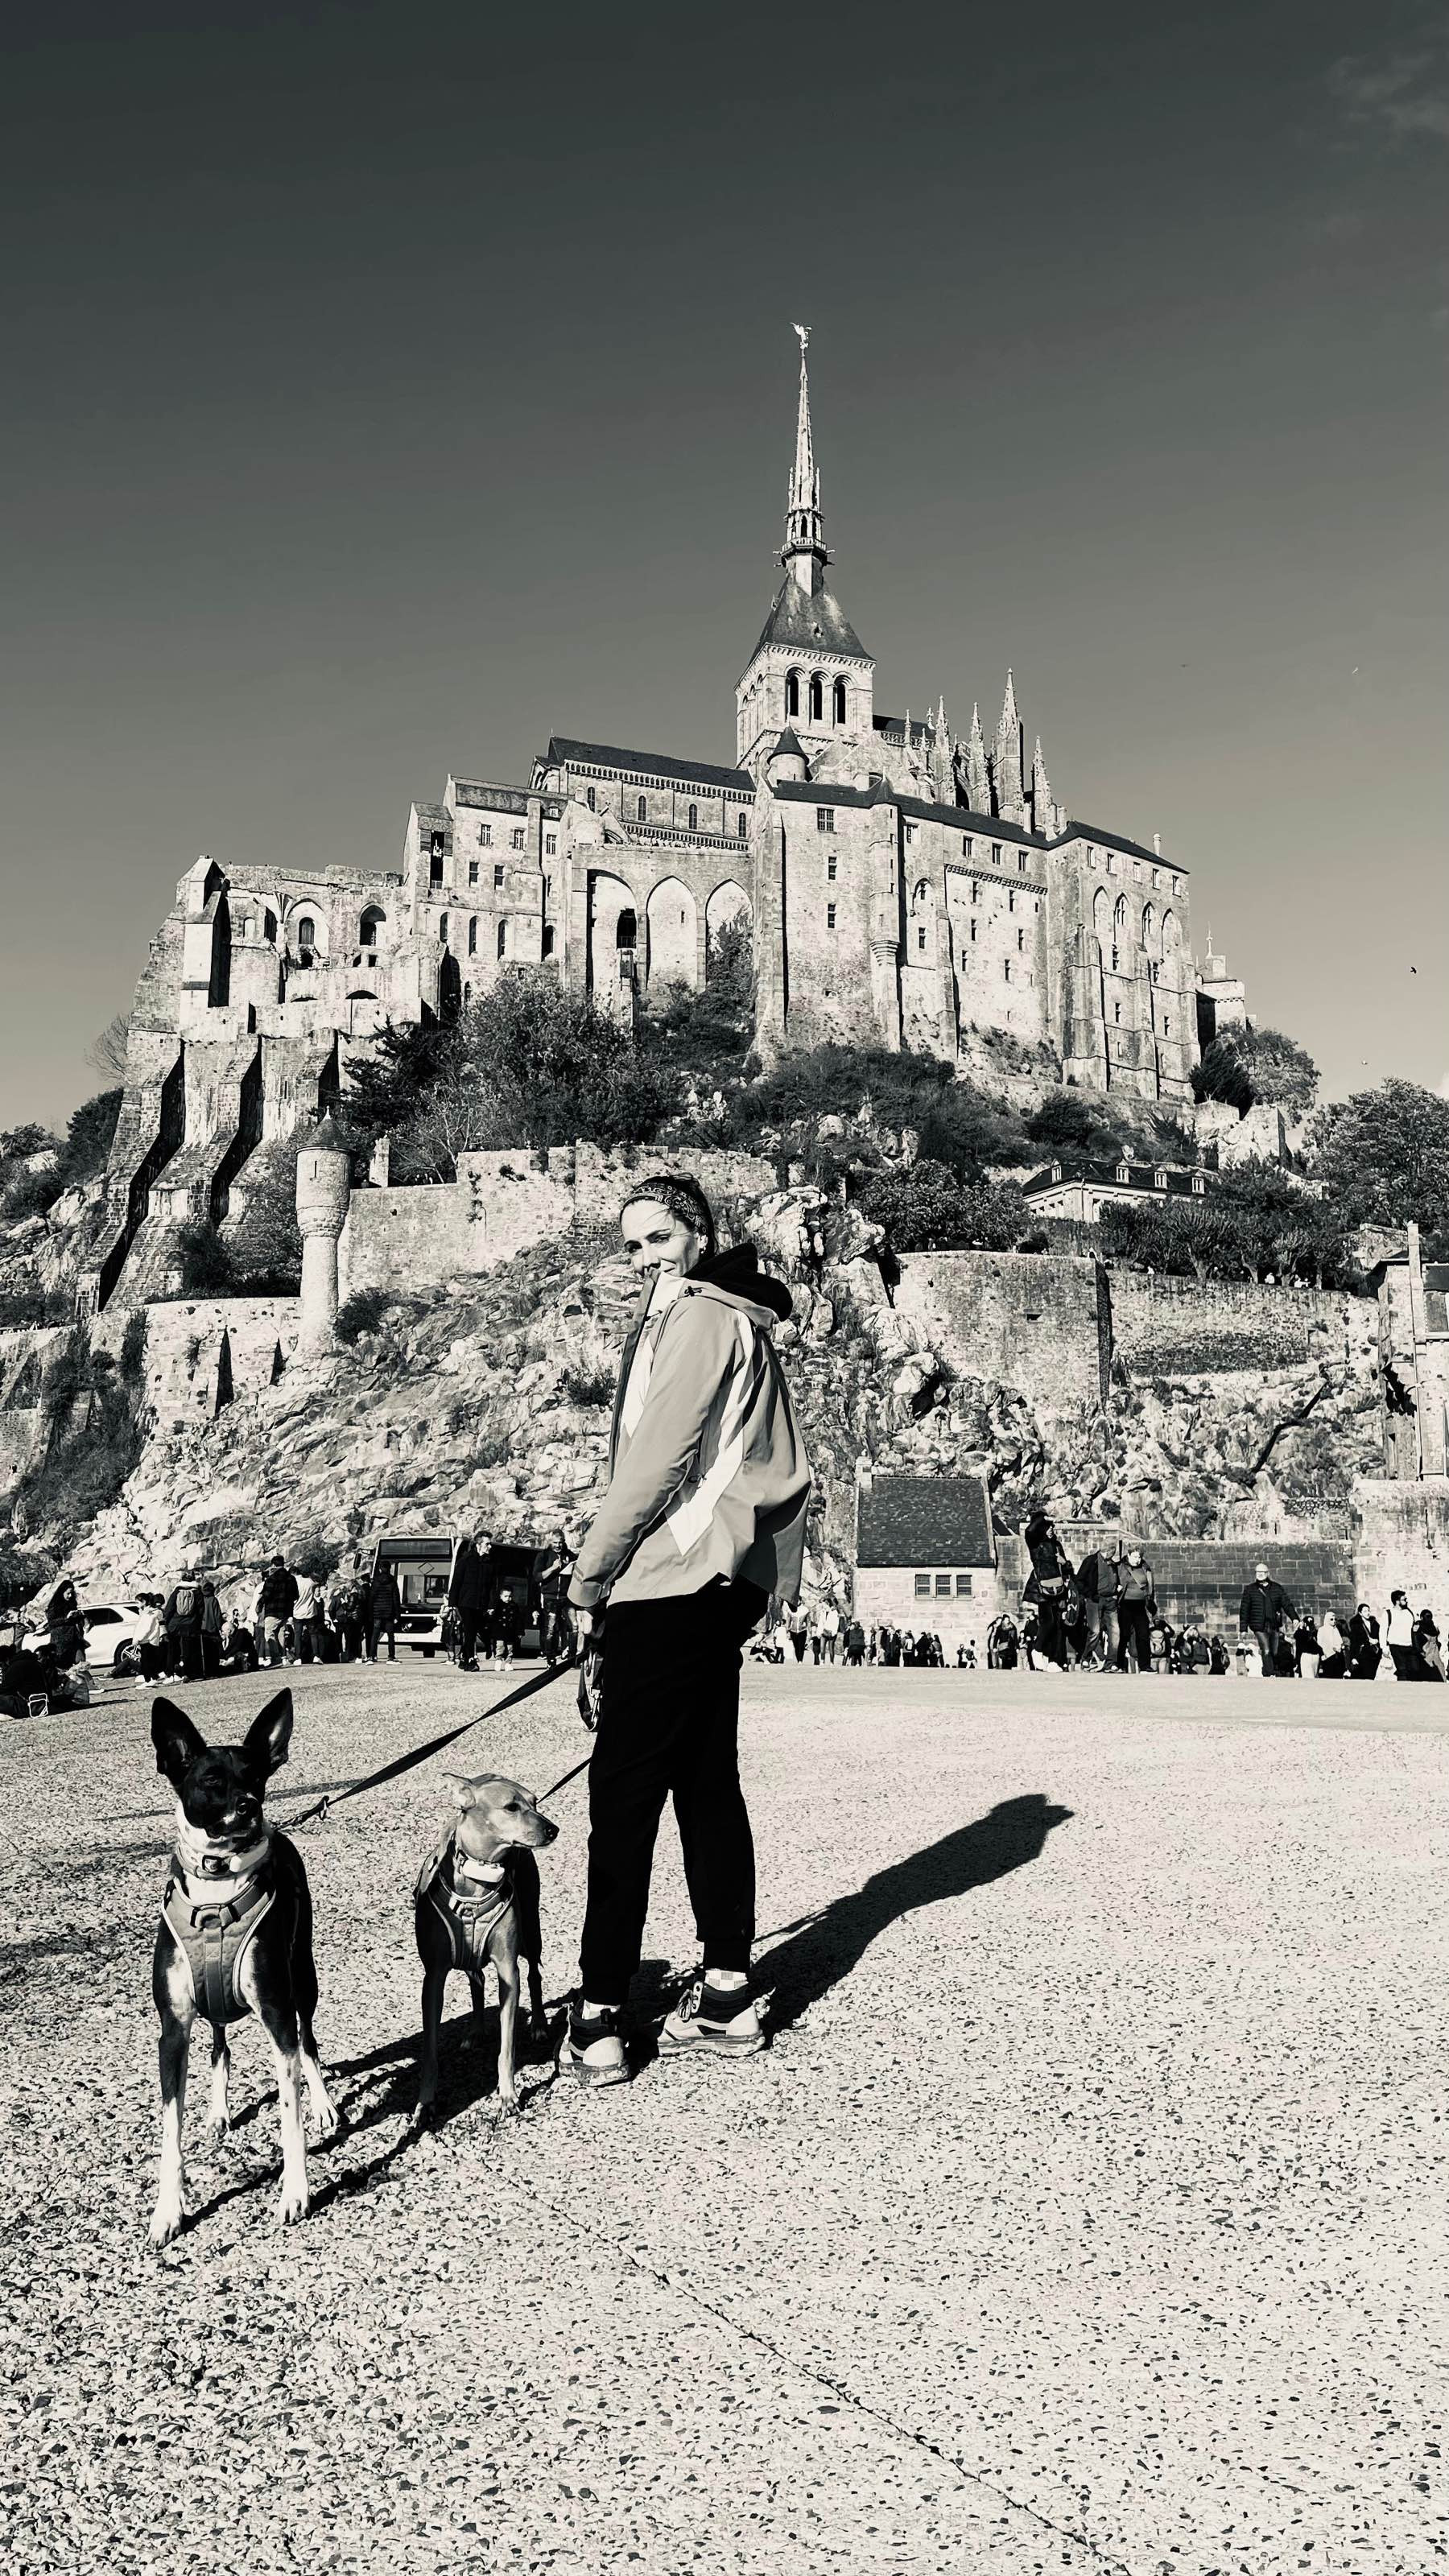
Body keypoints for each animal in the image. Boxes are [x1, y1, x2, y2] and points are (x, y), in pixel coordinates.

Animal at [149, 1688, 337, 2245]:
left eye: (256, 1776)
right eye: (212, 1781)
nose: (250, 1807)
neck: (218, 1886)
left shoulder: (276, 2012)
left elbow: (290, 2113)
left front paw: (294, 2192)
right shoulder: (172, 2031)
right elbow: (171, 2129)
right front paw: (169, 2210)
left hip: (303, 1978)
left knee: (309, 2042)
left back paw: (323, 2103)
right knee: (220, 2045)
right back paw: (219, 2109)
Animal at [414, 1772, 558, 2118]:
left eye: (535, 1802)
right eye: (511, 1807)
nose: (552, 1829)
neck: (477, 1880)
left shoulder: (508, 1970)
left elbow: (507, 2046)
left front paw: (507, 2095)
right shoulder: (433, 1977)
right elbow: (430, 2050)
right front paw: (426, 2100)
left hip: (531, 1931)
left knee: (534, 1974)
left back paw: (539, 2025)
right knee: (476, 1980)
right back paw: (476, 2030)